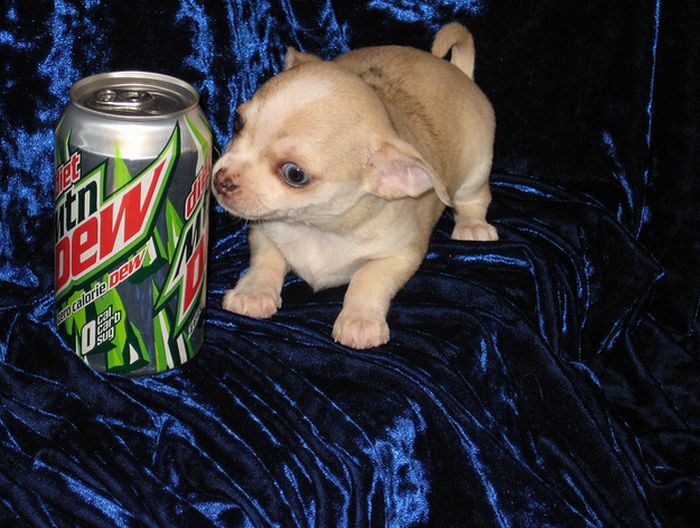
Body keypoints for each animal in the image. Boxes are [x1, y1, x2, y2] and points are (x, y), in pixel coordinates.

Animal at [213, 22, 498, 348]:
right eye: (237, 123)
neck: (317, 228)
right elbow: (265, 261)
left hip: (476, 169)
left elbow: (368, 279)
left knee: (474, 199)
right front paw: (252, 293)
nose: (221, 179)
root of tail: (456, 71)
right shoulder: (265, 231)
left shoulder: (400, 255)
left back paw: (473, 226)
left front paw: (360, 321)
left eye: (294, 174)